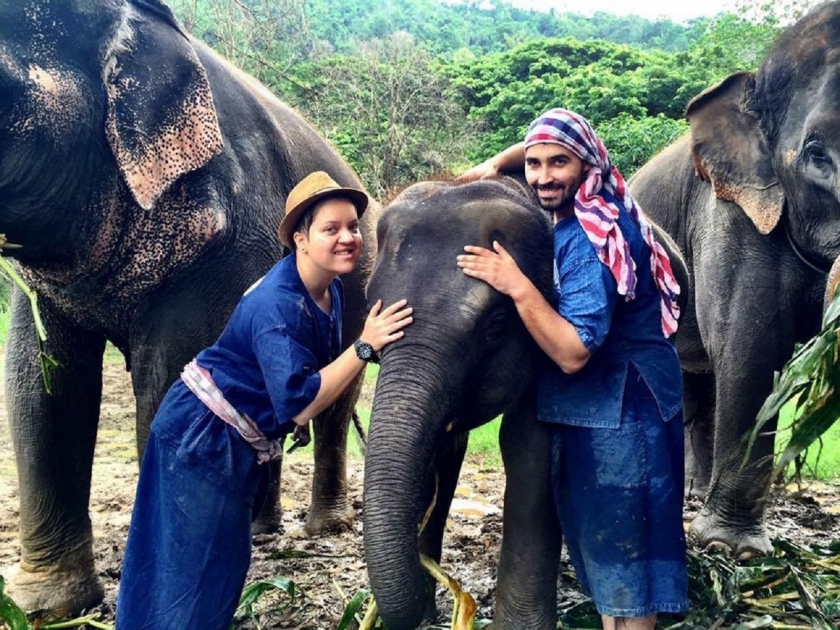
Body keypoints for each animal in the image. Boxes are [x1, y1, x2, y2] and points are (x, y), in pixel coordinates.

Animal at [0, 0, 370, 616]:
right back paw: (262, 532)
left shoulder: (228, 238)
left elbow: (175, 377)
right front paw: (46, 610)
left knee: (333, 404)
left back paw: (325, 529)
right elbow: (42, 384)